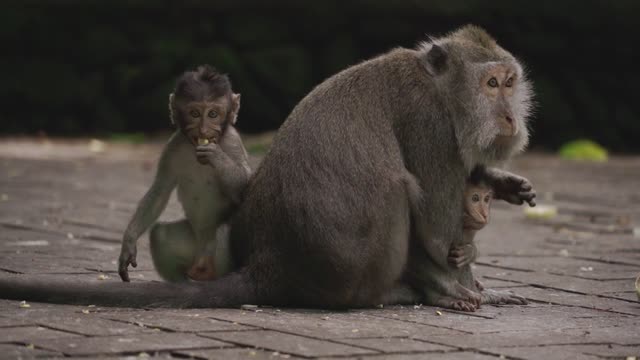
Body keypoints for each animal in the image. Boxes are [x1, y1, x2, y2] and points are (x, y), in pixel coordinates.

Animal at [117, 64, 250, 284]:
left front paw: (216, 156)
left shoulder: (232, 141)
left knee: (224, 229)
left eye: (213, 114)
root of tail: (202, 261)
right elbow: (160, 191)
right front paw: (129, 241)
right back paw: (182, 282)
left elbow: (245, 186)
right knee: (160, 235)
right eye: (194, 113)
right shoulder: (173, 145)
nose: (203, 130)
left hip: (217, 254)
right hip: (192, 249)